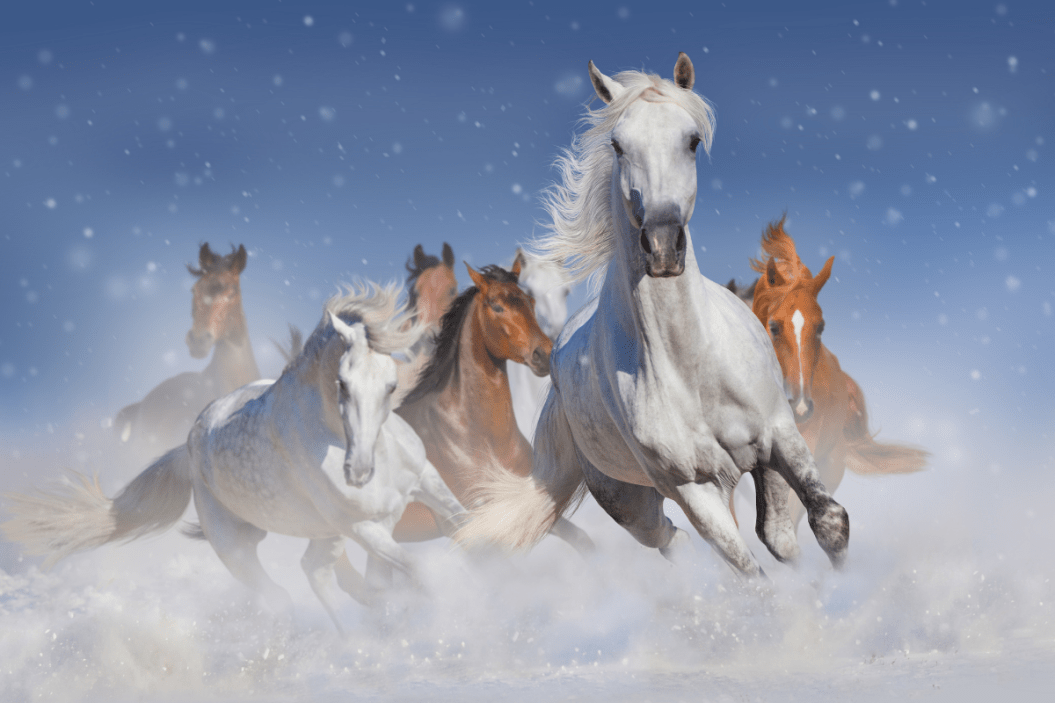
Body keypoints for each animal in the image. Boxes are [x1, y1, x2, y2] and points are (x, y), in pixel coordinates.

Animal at [3, 283, 466, 633]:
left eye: (391, 386)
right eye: (342, 384)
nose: (359, 472)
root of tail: (189, 448)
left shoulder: (422, 484)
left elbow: (464, 531)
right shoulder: (363, 528)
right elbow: (421, 573)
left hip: (327, 532)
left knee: (317, 572)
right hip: (238, 548)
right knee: (284, 594)